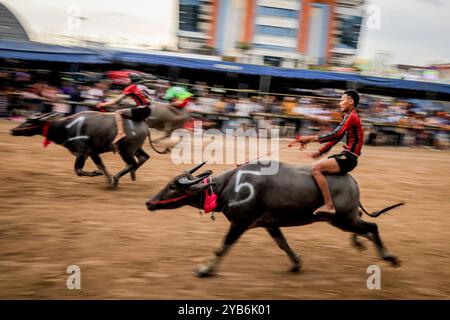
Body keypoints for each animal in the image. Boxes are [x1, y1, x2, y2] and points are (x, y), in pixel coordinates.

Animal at [9, 112, 151, 188]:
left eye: (29, 122)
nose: (12, 130)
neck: (66, 127)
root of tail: (144, 126)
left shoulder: (82, 152)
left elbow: (78, 170)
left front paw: (101, 175)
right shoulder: (92, 152)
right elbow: (101, 165)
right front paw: (105, 177)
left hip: (125, 150)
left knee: (132, 163)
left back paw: (117, 178)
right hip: (136, 148)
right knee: (143, 158)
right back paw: (132, 175)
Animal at [147, 161, 404, 276]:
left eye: (172, 186)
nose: (149, 202)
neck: (230, 187)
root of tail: (352, 181)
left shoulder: (240, 223)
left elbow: (222, 247)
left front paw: (205, 269)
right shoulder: (270, 224)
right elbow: (283, 244)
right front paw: (296, 263)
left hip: (341, 219)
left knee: (372, 226)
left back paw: (389, 256)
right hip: (346, 219)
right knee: (365, 228)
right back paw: (363, 245)